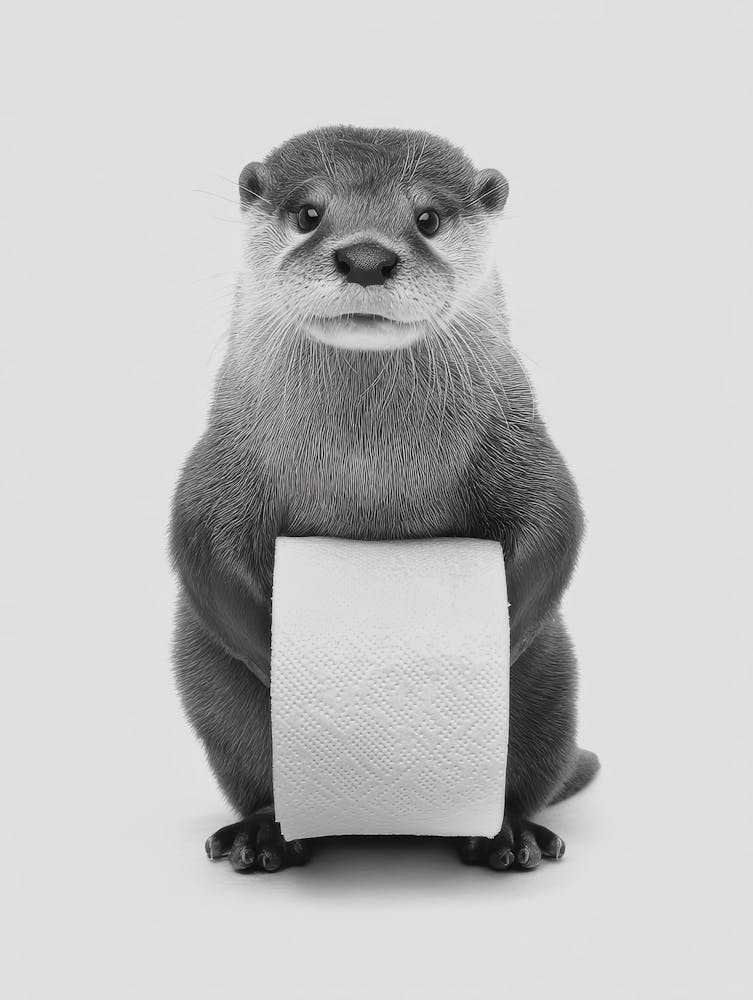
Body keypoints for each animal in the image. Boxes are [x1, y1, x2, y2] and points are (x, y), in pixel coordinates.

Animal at [170, 125, 599, 873]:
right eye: (308, 213)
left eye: (426, 218)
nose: (366, 256)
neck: (367, 457)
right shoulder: (221, 459)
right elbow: (196, 540)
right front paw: (276, 658)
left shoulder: (519, 441)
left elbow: (558, 520)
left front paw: (502, 635)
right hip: (202, 674)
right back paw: (265, 834)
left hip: (555, 676)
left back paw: (507, 835)